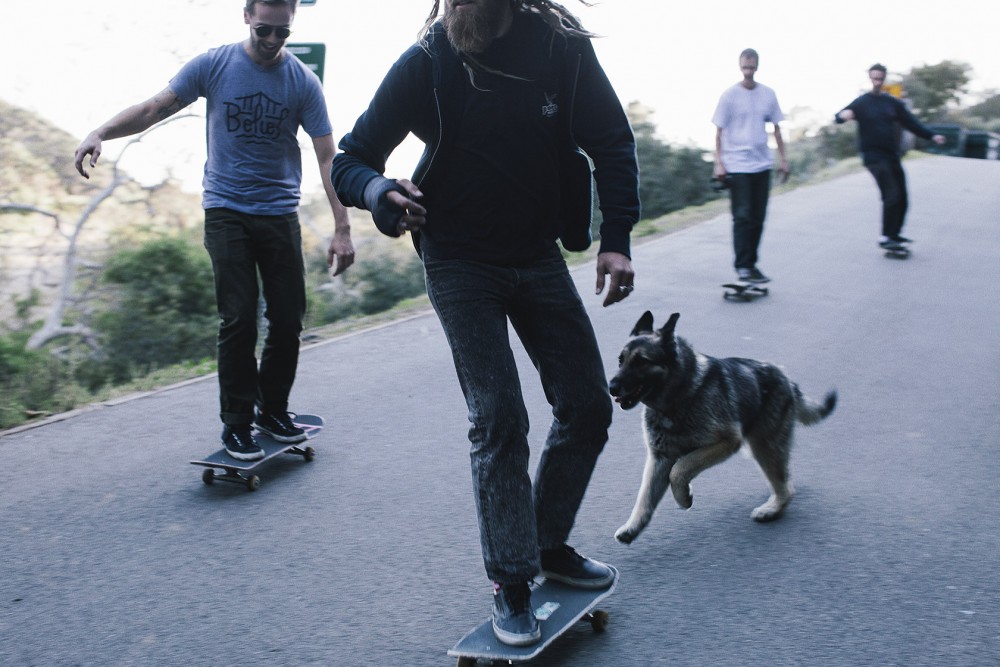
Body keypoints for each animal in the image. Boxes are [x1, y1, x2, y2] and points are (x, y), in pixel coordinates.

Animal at [609, 311, 837, 544]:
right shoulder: (659, 459)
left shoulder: (726, 442)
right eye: (621, 361)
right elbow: (645, 497)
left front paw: (684, 497)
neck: (679, 396)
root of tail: (786, 379)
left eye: (641, 362)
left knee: (786, 486)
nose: (611, 388)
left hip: (764, 447)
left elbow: (679, 469)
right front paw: (633, 527)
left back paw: (772, 509)